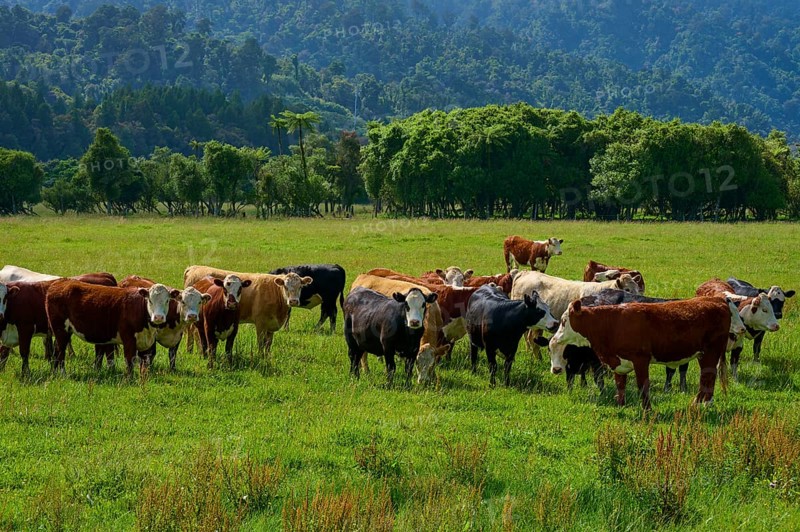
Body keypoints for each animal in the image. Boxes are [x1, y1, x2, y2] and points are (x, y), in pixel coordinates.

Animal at [45, 280, 180, 375]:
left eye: (167, 300)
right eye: (150, 300)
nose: (158, 317)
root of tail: (59, 283)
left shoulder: (146, 343)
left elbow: (144, 364)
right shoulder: (128, 339)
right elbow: (129, 360)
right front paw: (129, 380)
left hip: (65, 331)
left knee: (56, 349)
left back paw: (54, 372)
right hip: (60, 329)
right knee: (60, 351)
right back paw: (62, 373)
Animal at [183, 266, 312, 354]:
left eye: (300, 286)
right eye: (285, 286)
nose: (293, 301)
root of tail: (193, 267)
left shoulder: (271, 326)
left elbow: (268, 344)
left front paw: (267, 358)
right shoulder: (260, 323)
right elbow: (261, 343)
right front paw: (261, 357)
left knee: (191, 331)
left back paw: (190, 350)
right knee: (195, 332)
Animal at [550, 297, 745, 409]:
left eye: (564, 321)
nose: (555, 339)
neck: (611, 323)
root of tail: (717, 300)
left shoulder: (640, 359)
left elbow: (642, 385)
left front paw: (647, 410)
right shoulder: (619, 362)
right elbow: (620, 384)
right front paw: (620, 405)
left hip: (710, 352)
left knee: (708, 377)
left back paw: (702, 404)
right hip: (705, 354)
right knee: (707, 378)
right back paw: (701, 403)